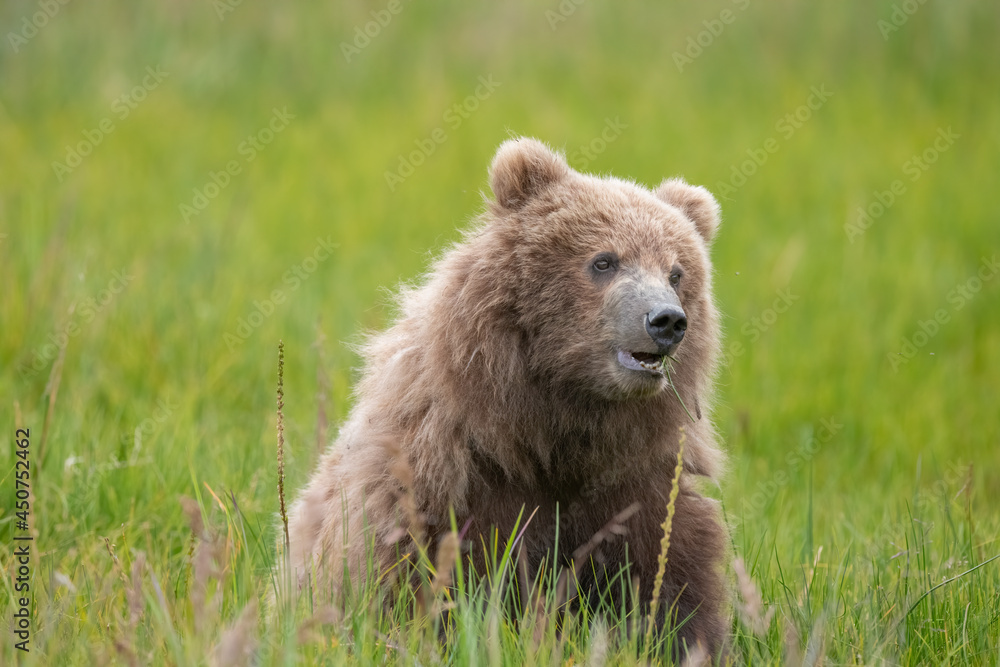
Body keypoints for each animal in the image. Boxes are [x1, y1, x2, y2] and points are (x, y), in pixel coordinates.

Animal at [284, 137, 728, 656]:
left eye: (677, 272)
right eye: (604, 260)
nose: (666, 320)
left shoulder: (638, 486)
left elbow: (669, 585)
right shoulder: (446, 484)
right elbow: (415, 583)